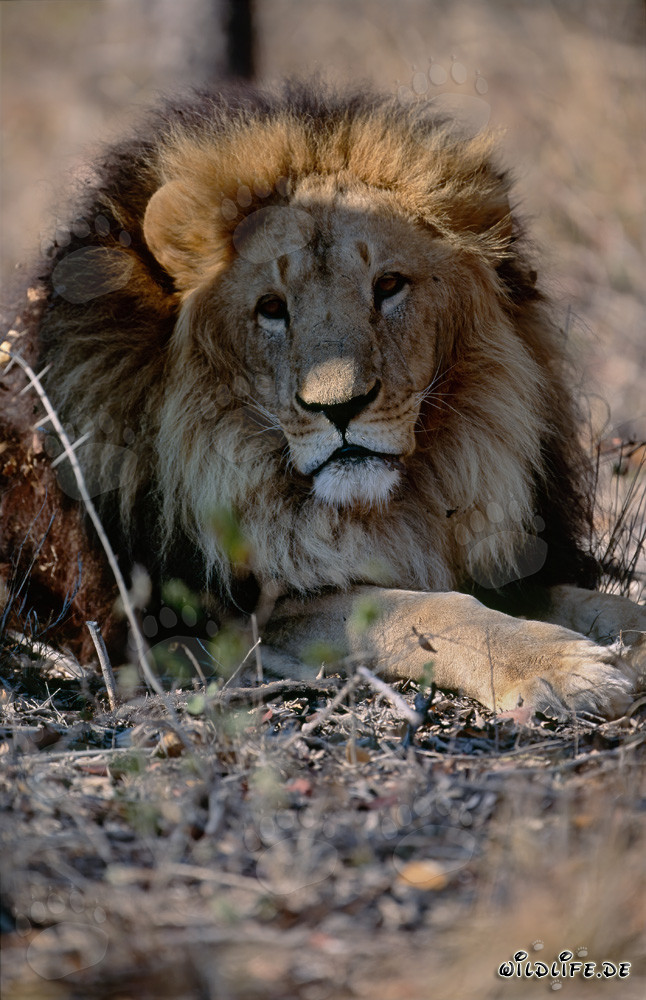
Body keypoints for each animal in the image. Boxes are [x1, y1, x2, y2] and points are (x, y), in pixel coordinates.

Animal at [1, 83, 644, 718]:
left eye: (388, 286)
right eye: (271, 308)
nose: (339, 408)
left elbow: (596, 603)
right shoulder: (215, 622)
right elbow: (423, 609)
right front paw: (561, 667)